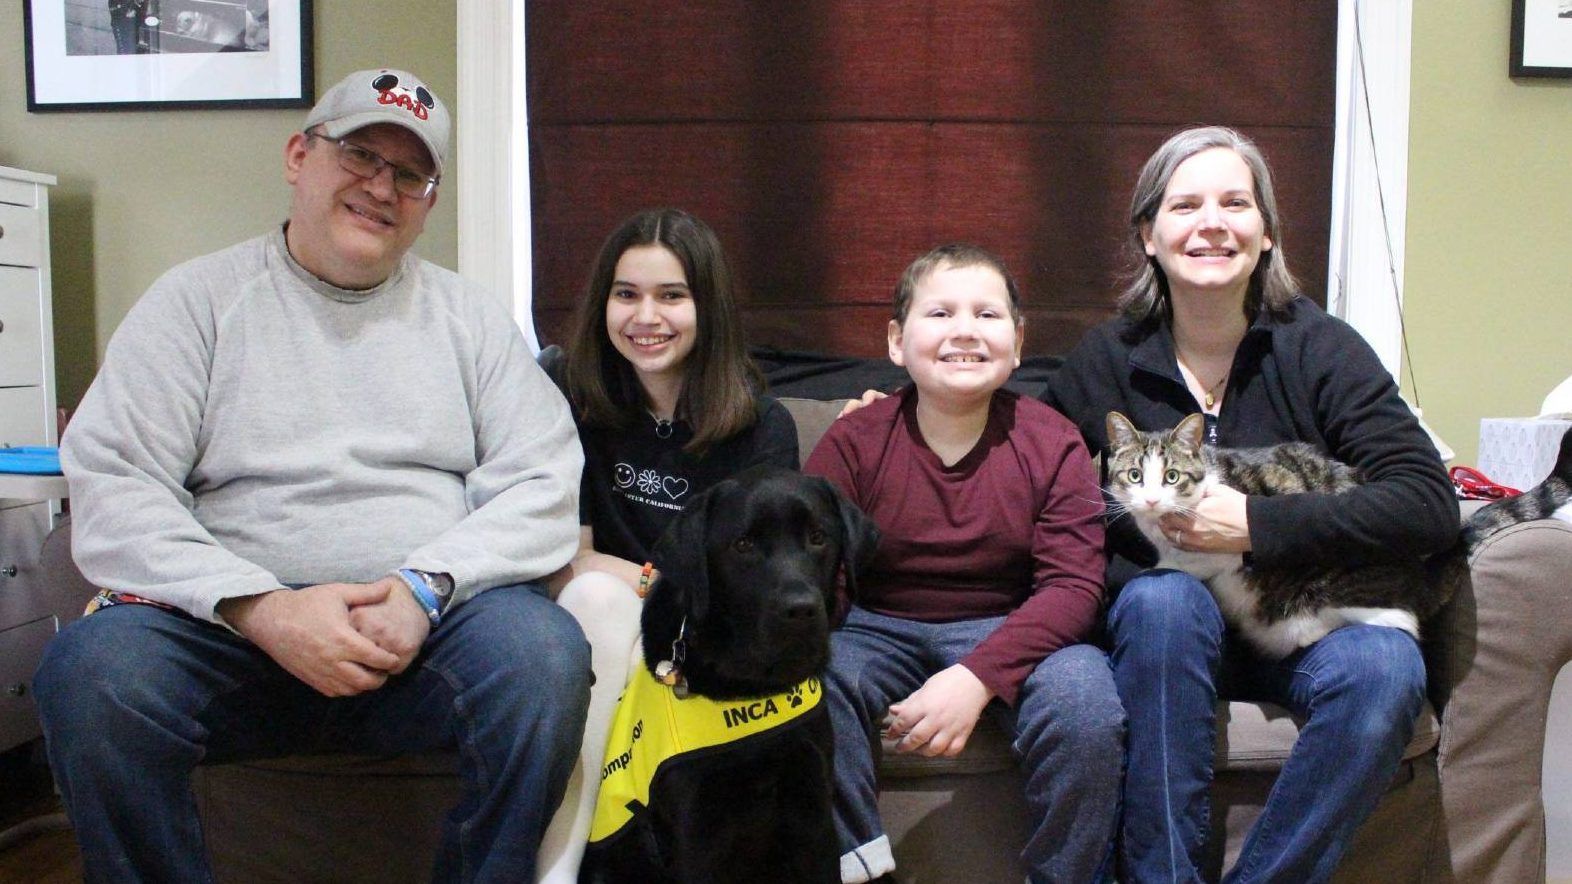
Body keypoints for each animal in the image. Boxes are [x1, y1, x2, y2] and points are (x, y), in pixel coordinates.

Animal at [578, 465, 880, 874]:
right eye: (743, 545)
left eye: (818, 538)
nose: (801, 609)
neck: (754, 687)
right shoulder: (697, 830)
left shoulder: (814, 814)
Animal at [1106, 408, 1446, 657]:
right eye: (1134, 476)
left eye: (1172, 476)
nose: (1151, 500)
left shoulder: (1224, 548)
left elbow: (1187, 563)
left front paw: (1157, 568)